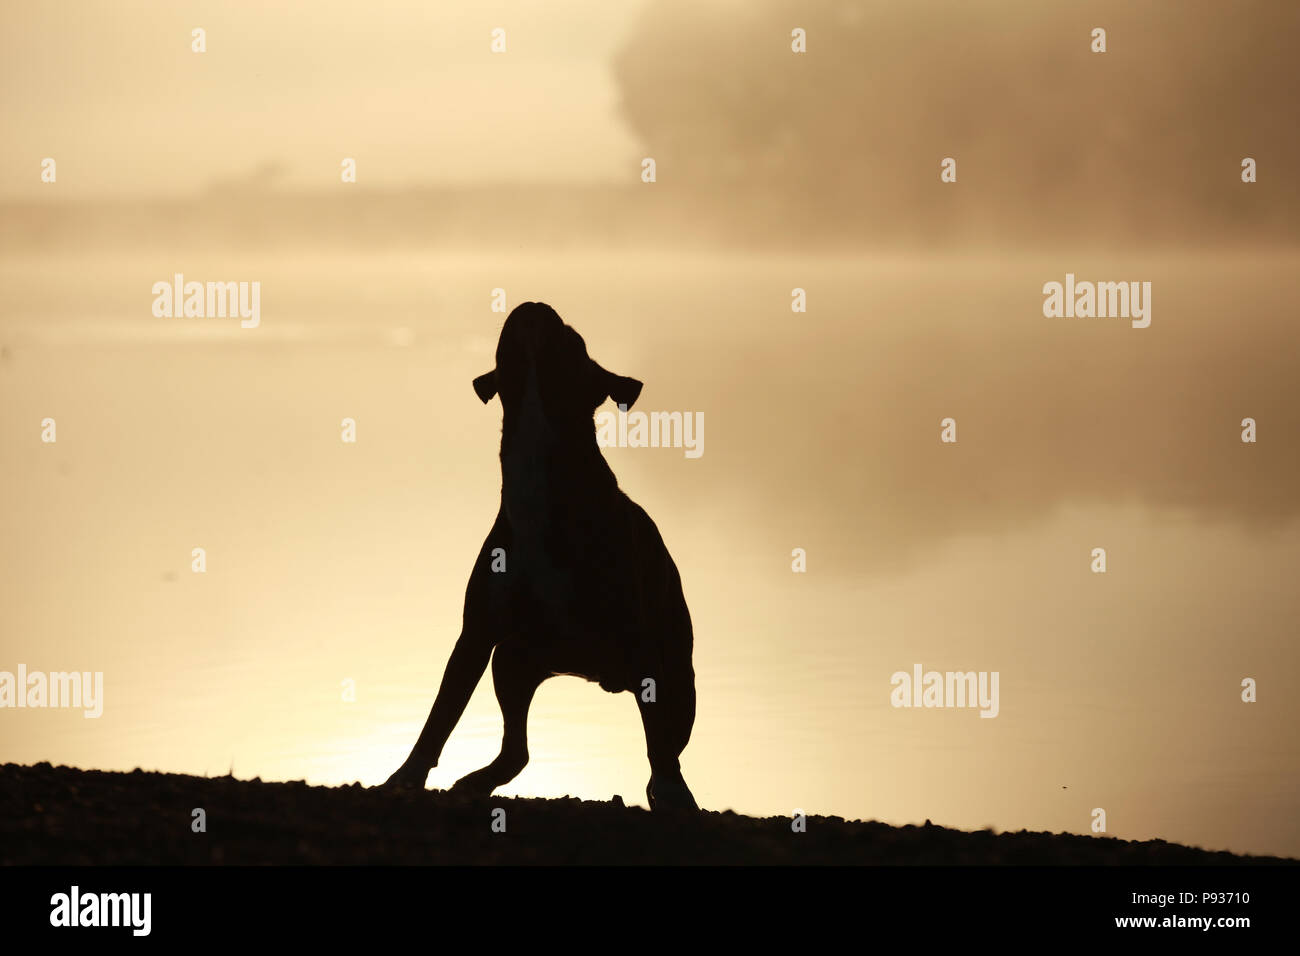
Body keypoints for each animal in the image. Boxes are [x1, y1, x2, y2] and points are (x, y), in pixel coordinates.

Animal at [384, 303, 702, 811]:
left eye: (572, 335)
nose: (534, 304)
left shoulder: (641, 638)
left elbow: (659, 746)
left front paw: (673, 793)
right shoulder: (476, 636)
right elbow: (441, 715)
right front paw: (405, 777)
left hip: (678, 679)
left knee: (665, 744)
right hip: (512, 664)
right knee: (518, 750)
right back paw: (476, 781)